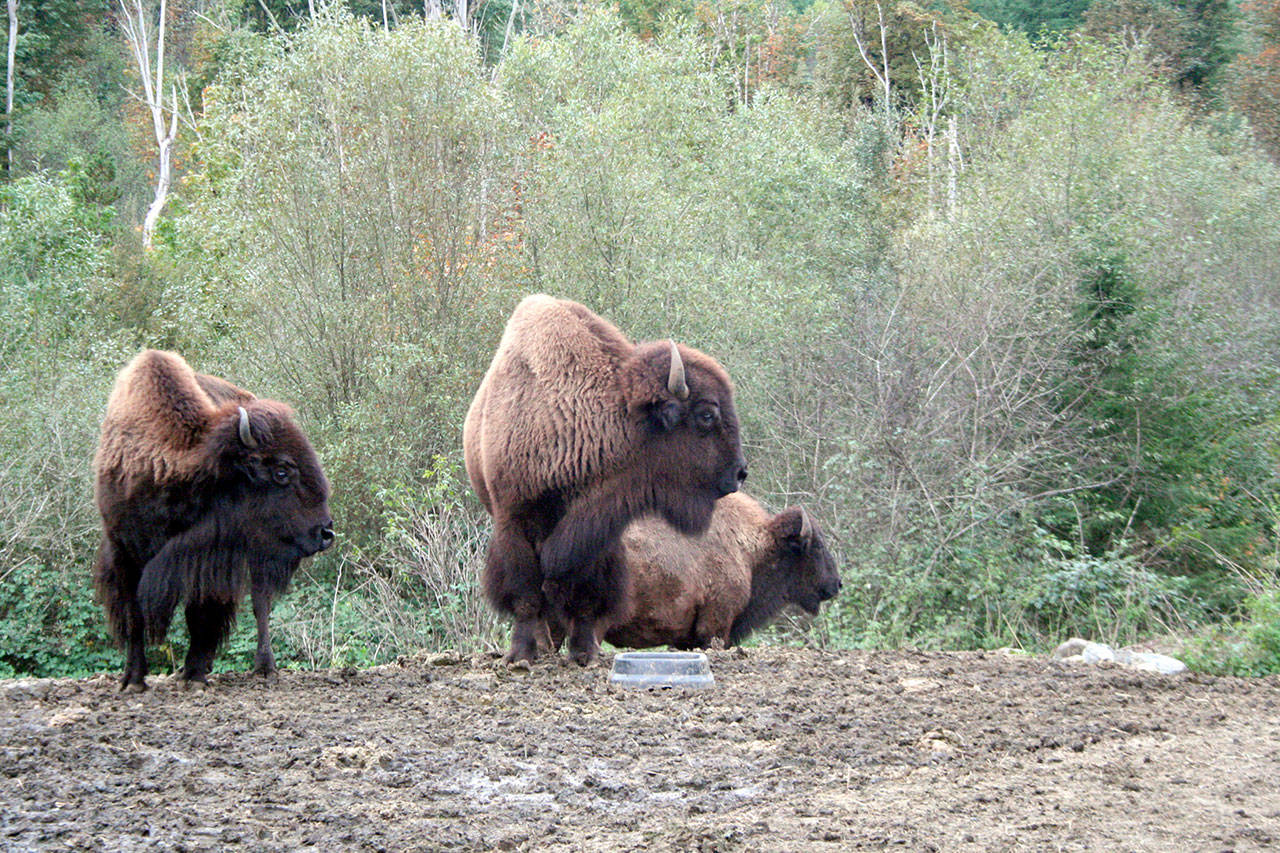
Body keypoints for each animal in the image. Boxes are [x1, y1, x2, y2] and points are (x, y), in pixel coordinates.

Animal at [94, 348, 335, 686]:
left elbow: (202, 613)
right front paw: (133, 680)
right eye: (281, 471)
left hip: (258, 552)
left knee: (260, 604)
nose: (325, 532)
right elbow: (134, 615)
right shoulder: (122, 551)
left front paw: (194, 675)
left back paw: (263, 667)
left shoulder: (209, 557)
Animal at [463, 292, 747, 666]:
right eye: (707, 415)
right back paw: (539, 647)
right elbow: (525, 593)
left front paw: (584, 653)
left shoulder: (598, 531)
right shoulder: (514, 520)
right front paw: (521, 654)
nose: (740, 472)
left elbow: (587, 596)